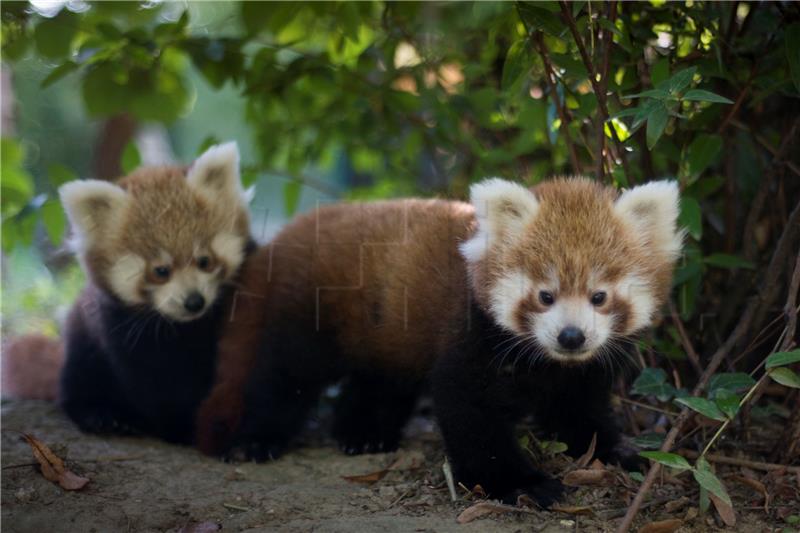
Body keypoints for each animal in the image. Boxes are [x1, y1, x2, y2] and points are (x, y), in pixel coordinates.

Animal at [58, 142, 253, 444]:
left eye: (204, 261)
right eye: (161, 271)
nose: (194, 301)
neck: (187, 328)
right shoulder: (121, 327)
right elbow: (155, 383)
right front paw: (181, 427)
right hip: (82, 335)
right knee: (80, 374)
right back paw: (101, 415)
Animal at [197, 177, 680, 504]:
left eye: (599, 296)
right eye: (546, 296)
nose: (572, 336)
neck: (545, 360)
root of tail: (294, 231)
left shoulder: (583, 370)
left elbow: (580, 413)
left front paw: (620, 452)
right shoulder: (473, 336)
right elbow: (470, 414)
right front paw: (523, 484)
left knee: (380, 380)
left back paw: (363, 433)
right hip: (308, 313)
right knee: (285, 377)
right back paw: (257, 440)